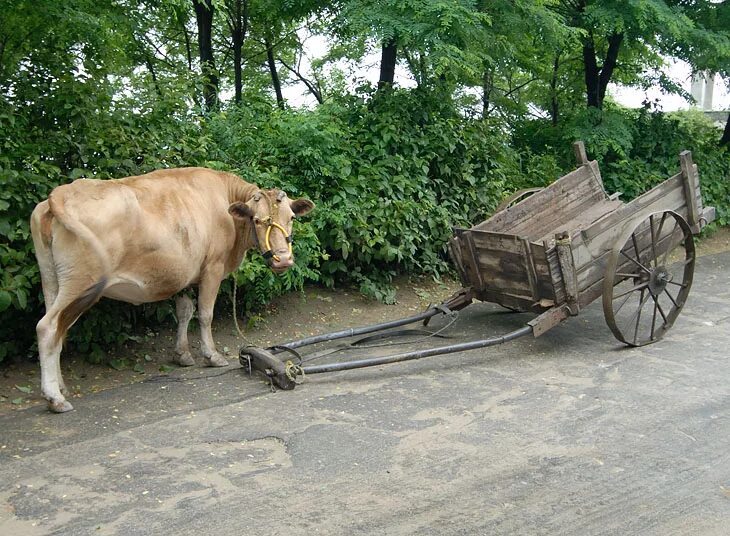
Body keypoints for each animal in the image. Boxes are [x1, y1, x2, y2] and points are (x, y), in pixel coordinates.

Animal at [29, 170, 312, 412]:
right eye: (256, 220)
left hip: (52, 280)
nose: (283, 260)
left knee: (59, 331)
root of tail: (62, 193)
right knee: (47, 327)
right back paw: (55, 398)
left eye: (291, 218)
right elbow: (205, 314)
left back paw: (60, 387)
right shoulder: (213, 267)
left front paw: (182, 354)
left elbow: (185, 310)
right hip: (80, 283)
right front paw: (211, 355)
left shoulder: (183, 273)